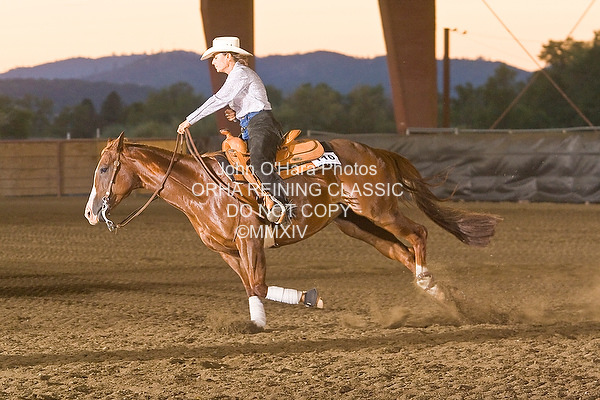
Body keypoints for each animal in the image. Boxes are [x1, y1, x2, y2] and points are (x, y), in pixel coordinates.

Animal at [84, 132, 501, 328]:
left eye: (104, 168)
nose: (90, 213)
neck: (201, 188)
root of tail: (377, 151)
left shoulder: (249, 241)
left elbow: (257, 286)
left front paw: (258, 326)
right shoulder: (226, 251)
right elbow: (256, 287)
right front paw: (308, 298)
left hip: (379, 209)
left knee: (418, 235)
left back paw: (429, 282)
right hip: (355, 224)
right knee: (400, 250)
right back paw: (443, 299)